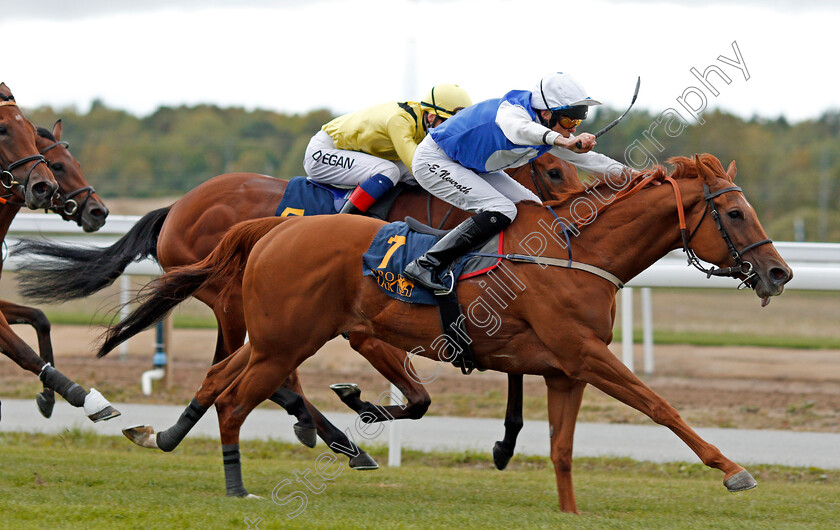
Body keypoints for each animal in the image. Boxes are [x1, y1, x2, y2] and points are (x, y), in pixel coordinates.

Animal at [0, 81, 118, 420]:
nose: (98, 211)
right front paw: (84, 397)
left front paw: (49, 396)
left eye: (76, 162)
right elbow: (23, 351)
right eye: (57, 164)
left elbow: (39, 317)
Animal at [16, 153, 584, 466]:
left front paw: (507, 441)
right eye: (554, 170)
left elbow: (513, 360)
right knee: (251, 365)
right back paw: (329, 435)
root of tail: (177, 206)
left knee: (247, 365)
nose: (579, 213)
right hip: (232, 299)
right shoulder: (375, 319)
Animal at [103, 154, 788, 512]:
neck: (574, 250)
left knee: (222, 375)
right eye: (734, 213)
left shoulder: (562, 368)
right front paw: (732, 469)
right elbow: (658, 404)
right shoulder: (586, 354)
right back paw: (240, 481)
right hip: (281, 337)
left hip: (274, 335)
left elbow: (561, 447)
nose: (779, 272)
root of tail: (275, 227)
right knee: (237, 398)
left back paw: (166, 433)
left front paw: (564, 508)